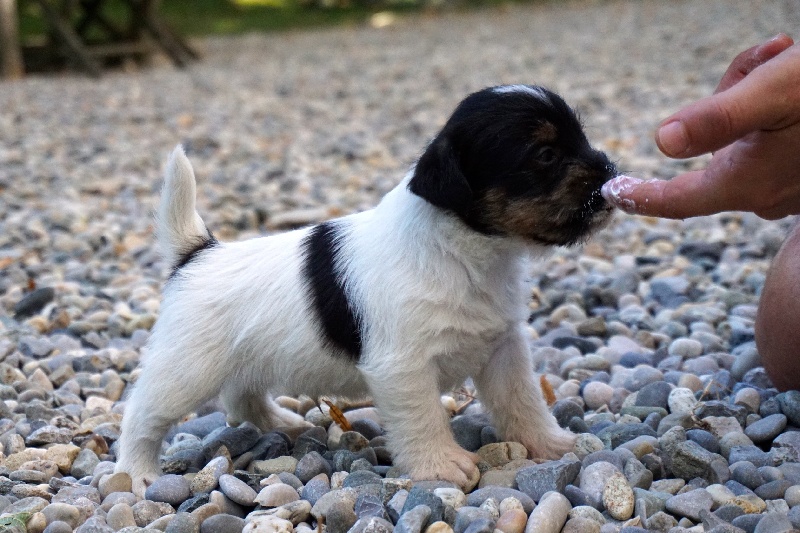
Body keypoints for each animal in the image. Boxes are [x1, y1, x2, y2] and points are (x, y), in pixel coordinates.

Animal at [115, 84, 620, 494]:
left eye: (581, 137)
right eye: (545, 155)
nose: (609, 173)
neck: (461, 252)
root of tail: (197, 253)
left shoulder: (504, 350)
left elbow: (523, 402)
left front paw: (549, 443)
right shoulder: (402, 368)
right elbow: (423, 418)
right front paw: (441, 465)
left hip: (247, 357)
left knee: (241, 394)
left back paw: (284, 423)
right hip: (185, 372)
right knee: (141, 415)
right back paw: (136, 472)